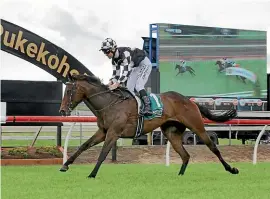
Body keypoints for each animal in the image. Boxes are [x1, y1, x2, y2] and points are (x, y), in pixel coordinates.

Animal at [58, 73, 238, 179]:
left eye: (69, 91)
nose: (62, 110)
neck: (110, 104)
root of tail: (190, 100)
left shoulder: (113, 132)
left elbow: (102, 154)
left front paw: (92, 174)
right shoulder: (103, 131)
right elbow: (83, 146)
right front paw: (65, 165)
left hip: (197, 127)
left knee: (212, 147)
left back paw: (231, 169)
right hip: (172, 133)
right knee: (185, 155)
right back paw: (179, 176)